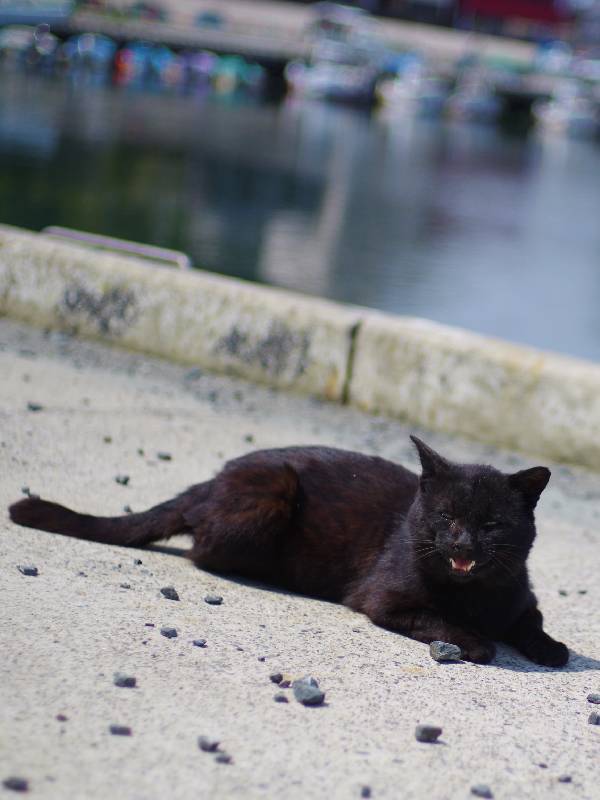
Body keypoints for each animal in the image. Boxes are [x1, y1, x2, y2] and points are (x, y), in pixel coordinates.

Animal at [10, 434, 572, 664]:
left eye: (491, 524)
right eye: (446, 517)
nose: (462, 541)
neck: (473, 594)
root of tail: (212, 480)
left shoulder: (520, 596)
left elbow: (531, 622)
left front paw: (551, 649)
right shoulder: (384, 600)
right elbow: (438, 619)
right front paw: (476, 642)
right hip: (273, 491)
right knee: (200, 547)